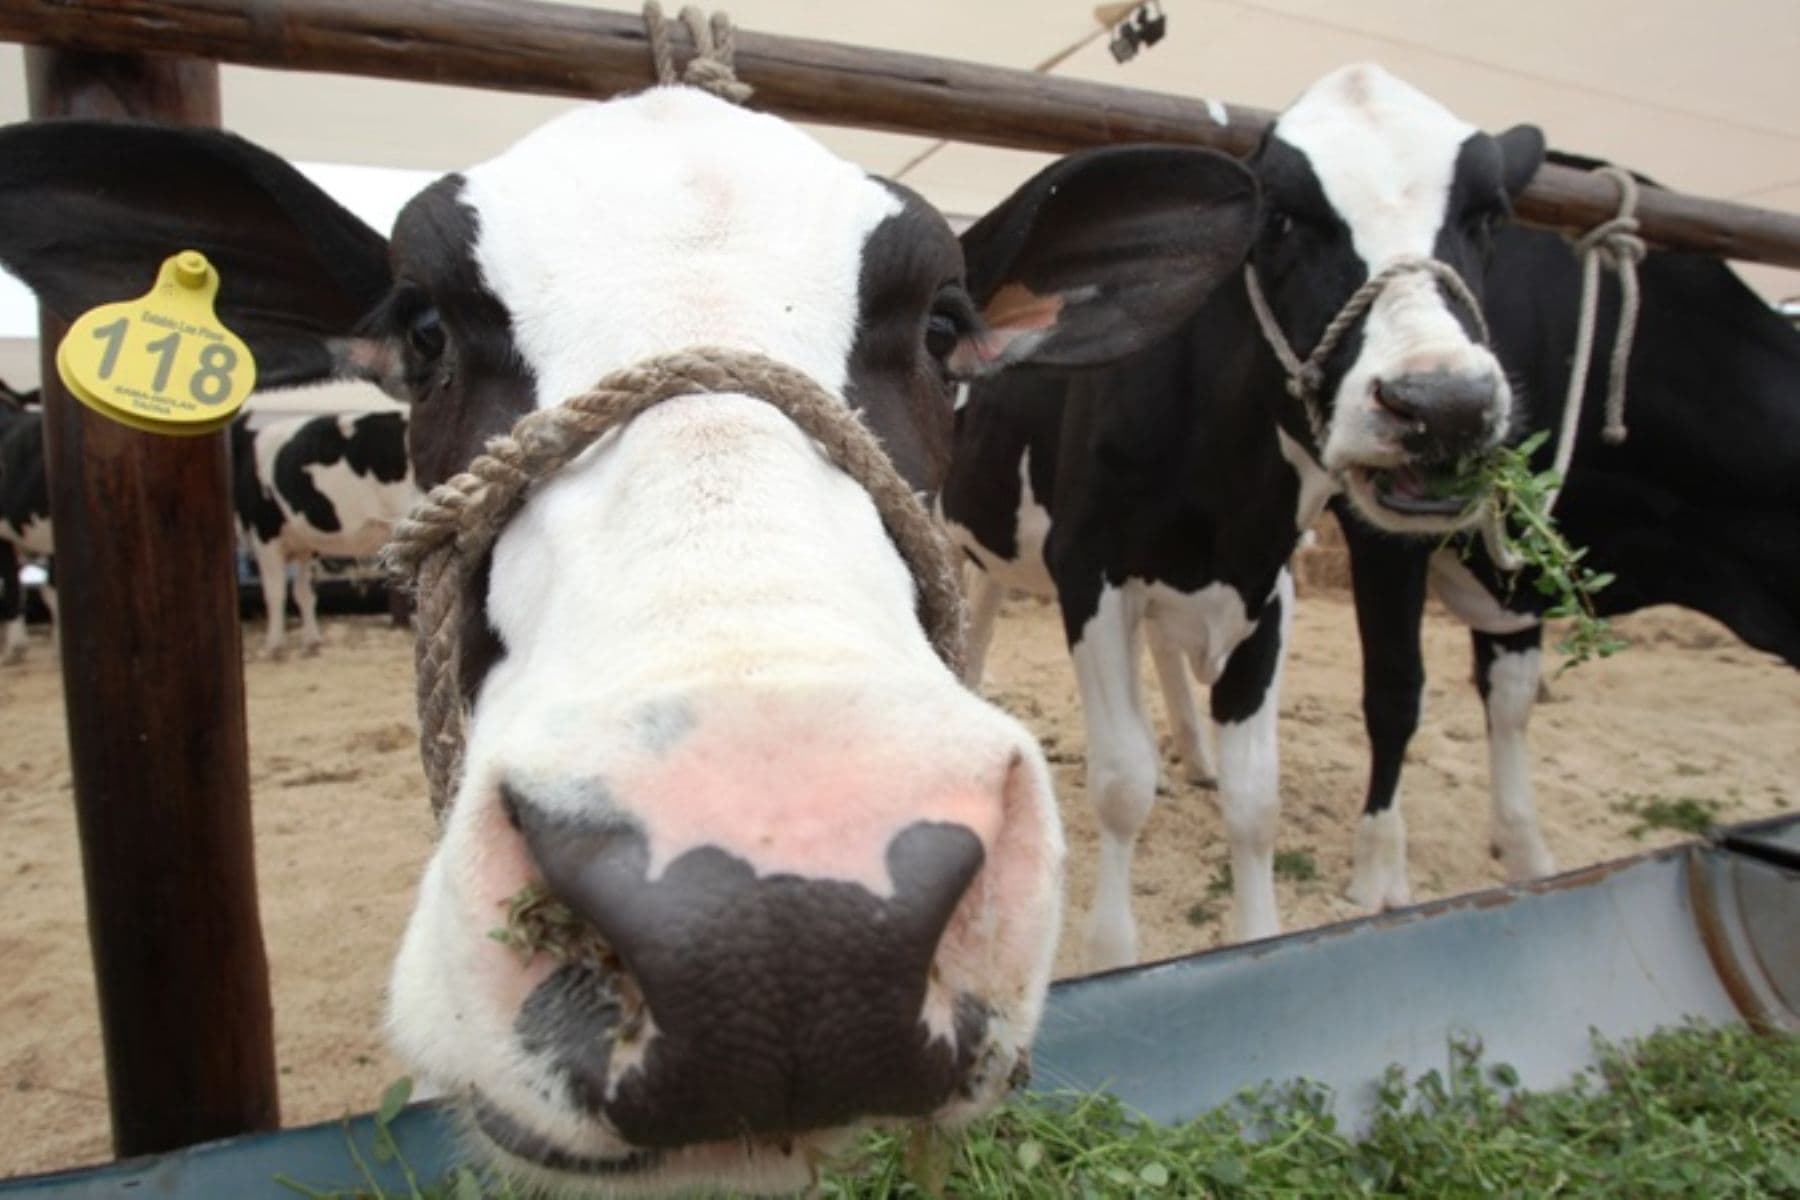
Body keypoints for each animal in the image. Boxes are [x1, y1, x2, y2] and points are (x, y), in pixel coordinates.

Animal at [232, 409, 416, 657]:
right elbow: (303, 592)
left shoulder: (265, 534)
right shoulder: (305, 545)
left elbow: (274, 592)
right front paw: (312, 642)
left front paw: (273, 646)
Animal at [940, 63, 1547, 969]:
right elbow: (1121, 783)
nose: (1442, 405)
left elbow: (1257, 802)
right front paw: (1113, 952)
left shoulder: (1268, 582)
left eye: (1488, 216)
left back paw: (1192, 751)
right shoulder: (1090, 569)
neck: (1223, 495)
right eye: (1284, 220)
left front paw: (1254, 938)